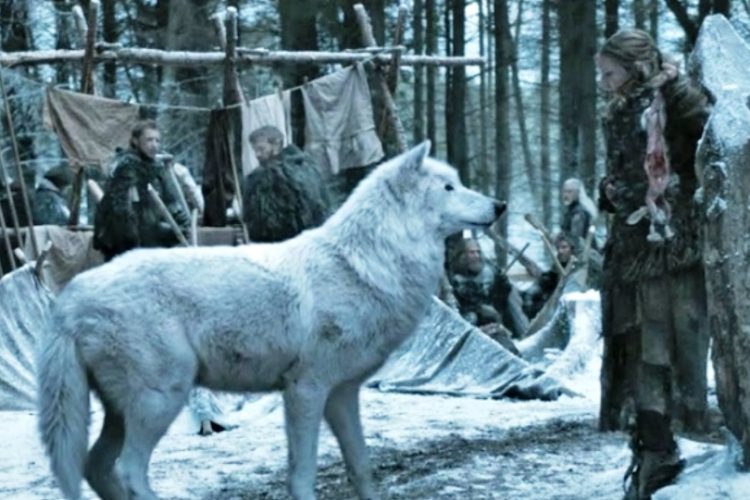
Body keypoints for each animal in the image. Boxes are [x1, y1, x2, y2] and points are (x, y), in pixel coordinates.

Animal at [36, 142, 505, 500]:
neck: (366, 262)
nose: (500, 204)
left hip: (124, 410)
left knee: (95, 467)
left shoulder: (343, 394)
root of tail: (71, 297)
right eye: (449, 187)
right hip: (161, 399)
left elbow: (362, 466)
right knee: (129, 472)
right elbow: (302, 475)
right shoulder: (305, 389)